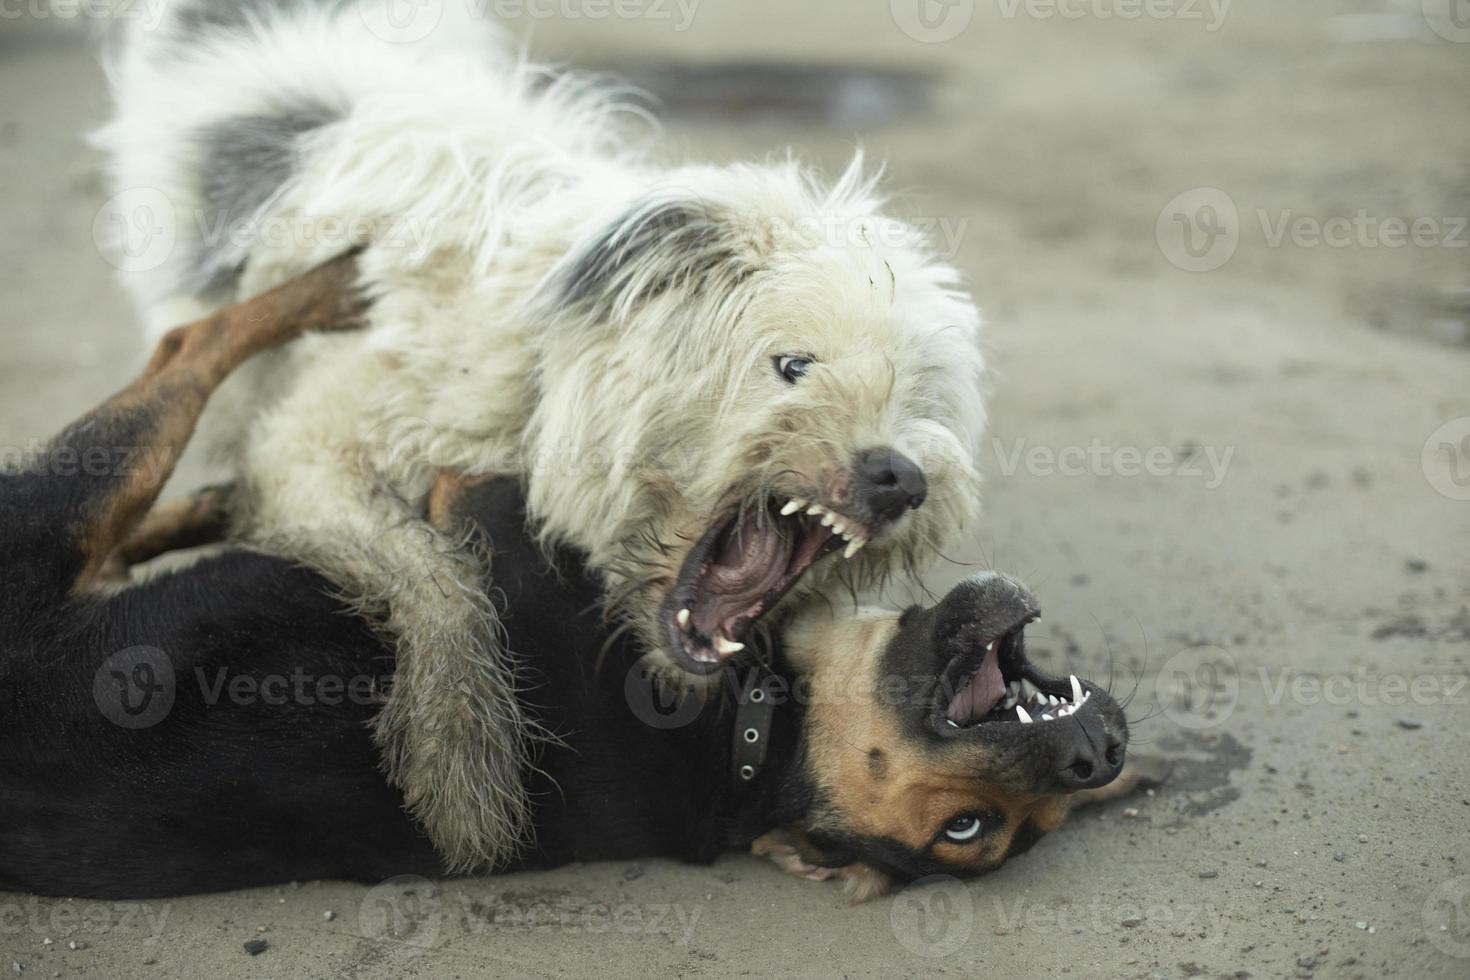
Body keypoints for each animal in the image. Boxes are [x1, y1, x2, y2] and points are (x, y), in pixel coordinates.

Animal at [0, 257, 1146, 899]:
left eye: (968, 831)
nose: (1098, 750)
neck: (756, 740)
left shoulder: (465, 504)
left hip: (45, 523)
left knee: (186, 352)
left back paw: (325, 292)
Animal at [94, 1, 987, 875]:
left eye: (924, 399)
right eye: (793, 364)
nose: (900, 479)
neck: (539, 367)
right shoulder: (310, 452)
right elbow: (436, 574)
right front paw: (461, 766)